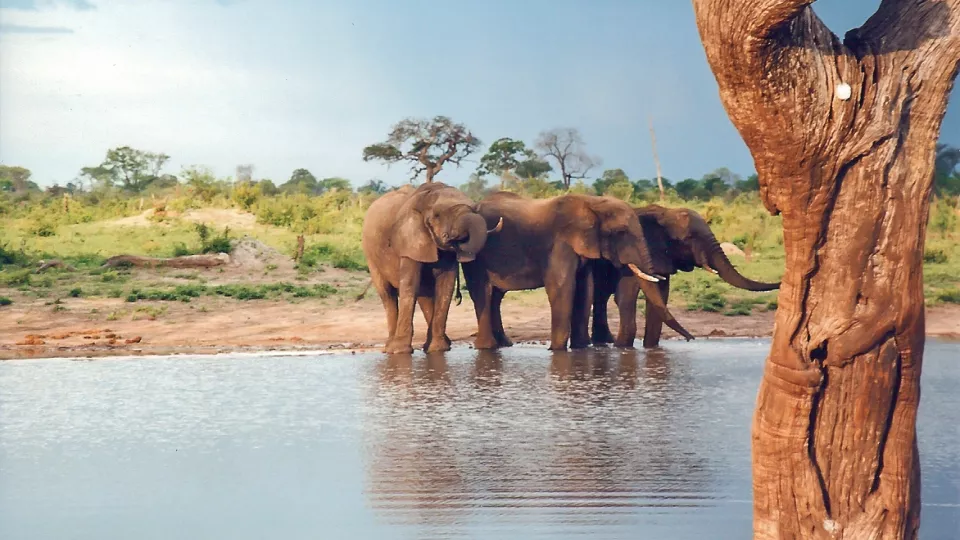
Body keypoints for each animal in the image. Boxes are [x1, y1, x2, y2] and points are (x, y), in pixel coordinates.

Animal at [360, 182, 506, 354]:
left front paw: (438, 349)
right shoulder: (409, 241)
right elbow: (410, 284)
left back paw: (436, 344)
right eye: (437, 215)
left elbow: (445, 284)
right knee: (387, 295)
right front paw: (400, 351)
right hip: (370, 255)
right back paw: (389, 347)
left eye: (474, 209)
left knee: (424, 293)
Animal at [462, 192, 692, 352]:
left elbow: (585, 288)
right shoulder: (561, 243)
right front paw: (556, 350)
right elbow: (562, 287)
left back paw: (502, 345)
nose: (692, 339)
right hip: (475, 255)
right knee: (483, 293)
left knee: (495, 297)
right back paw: (487, 347)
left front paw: (580, 349)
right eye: (621, 232)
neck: (592, 203)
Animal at [584, 205, 780, 348]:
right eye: (690, 238)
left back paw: (603, 343)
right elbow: (629, 295)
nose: (690, 339)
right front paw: (623, 348)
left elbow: (660, 297)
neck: (664, 212)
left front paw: (651, 349)